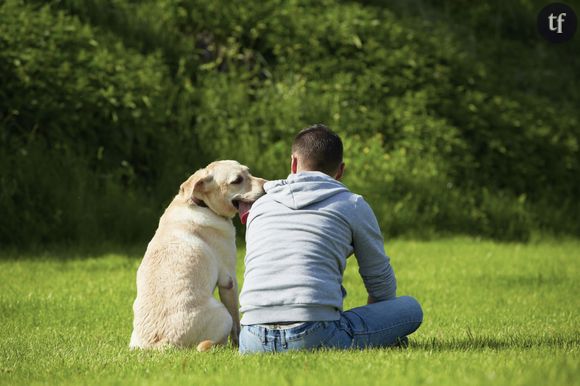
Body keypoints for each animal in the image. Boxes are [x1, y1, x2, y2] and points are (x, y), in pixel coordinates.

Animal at [130, 160, 266, 350]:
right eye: (237, 180)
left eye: (249, 172)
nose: (267, 185)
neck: (202, 204)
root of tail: (161, 343)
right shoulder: (229, 281)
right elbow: (236, 323)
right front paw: (238, 343)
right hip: (223, 315)